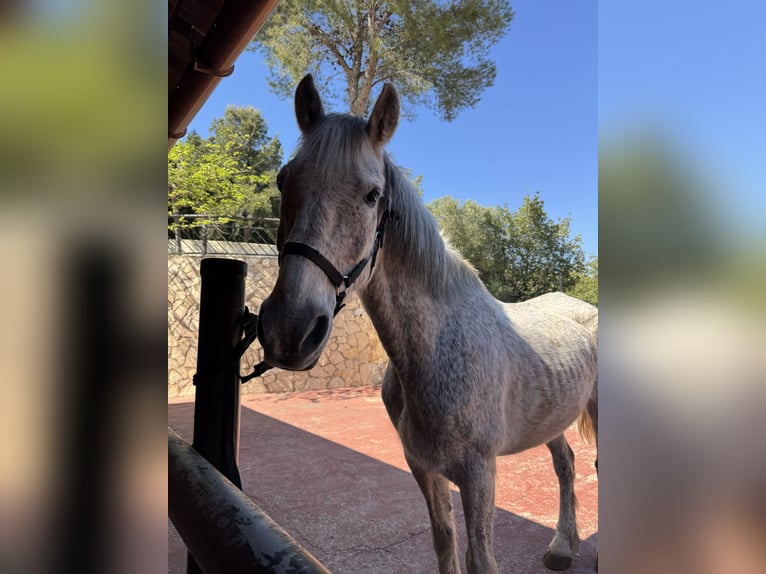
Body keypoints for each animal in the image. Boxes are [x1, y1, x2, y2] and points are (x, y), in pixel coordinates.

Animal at [257, 74, 598, 573]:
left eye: (372, 195)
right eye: (284, 181)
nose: (290, 328)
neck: (437, 350)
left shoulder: (479, 474)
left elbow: (481, 559)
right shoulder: (423, 467)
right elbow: (444, 544)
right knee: (567, 463)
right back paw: (562, 546)